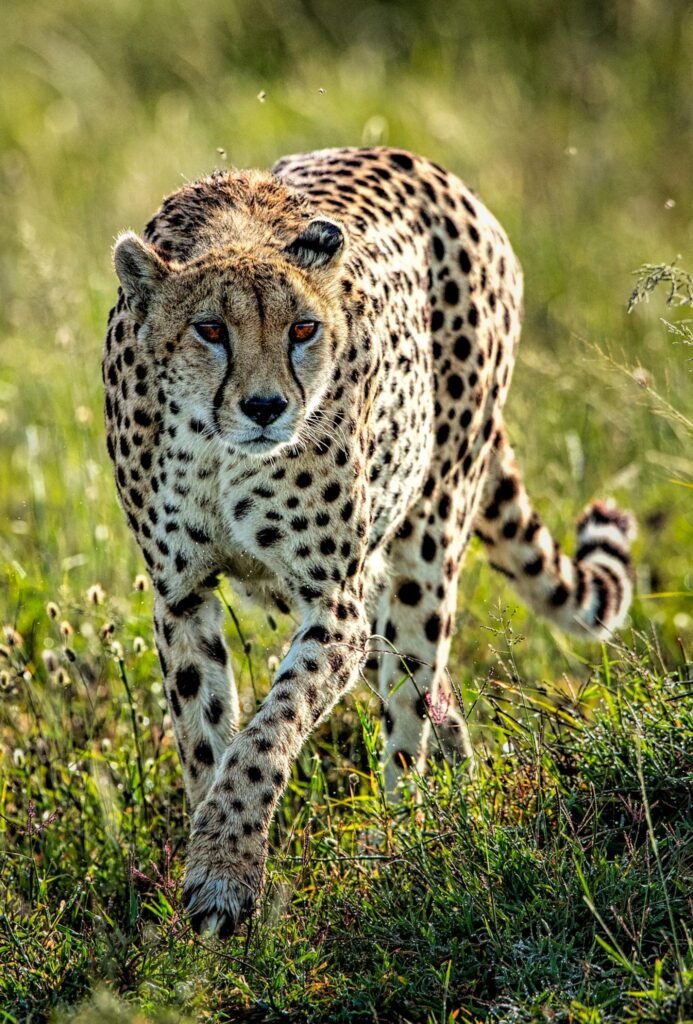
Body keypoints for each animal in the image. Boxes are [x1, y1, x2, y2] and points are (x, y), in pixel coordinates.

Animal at [103, 146, 635, 939]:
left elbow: (266, 734)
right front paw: (208, 869)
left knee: (412, 700)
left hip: (427, 539)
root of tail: (433, 170)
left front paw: (225, 871)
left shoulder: (335, 605)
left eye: (302, 330)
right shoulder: (182, 594)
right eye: (209, 330)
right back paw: (458, 795)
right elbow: (205, 740)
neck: (218, 448)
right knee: (435, 695)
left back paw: (408, 840)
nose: (266, 407)